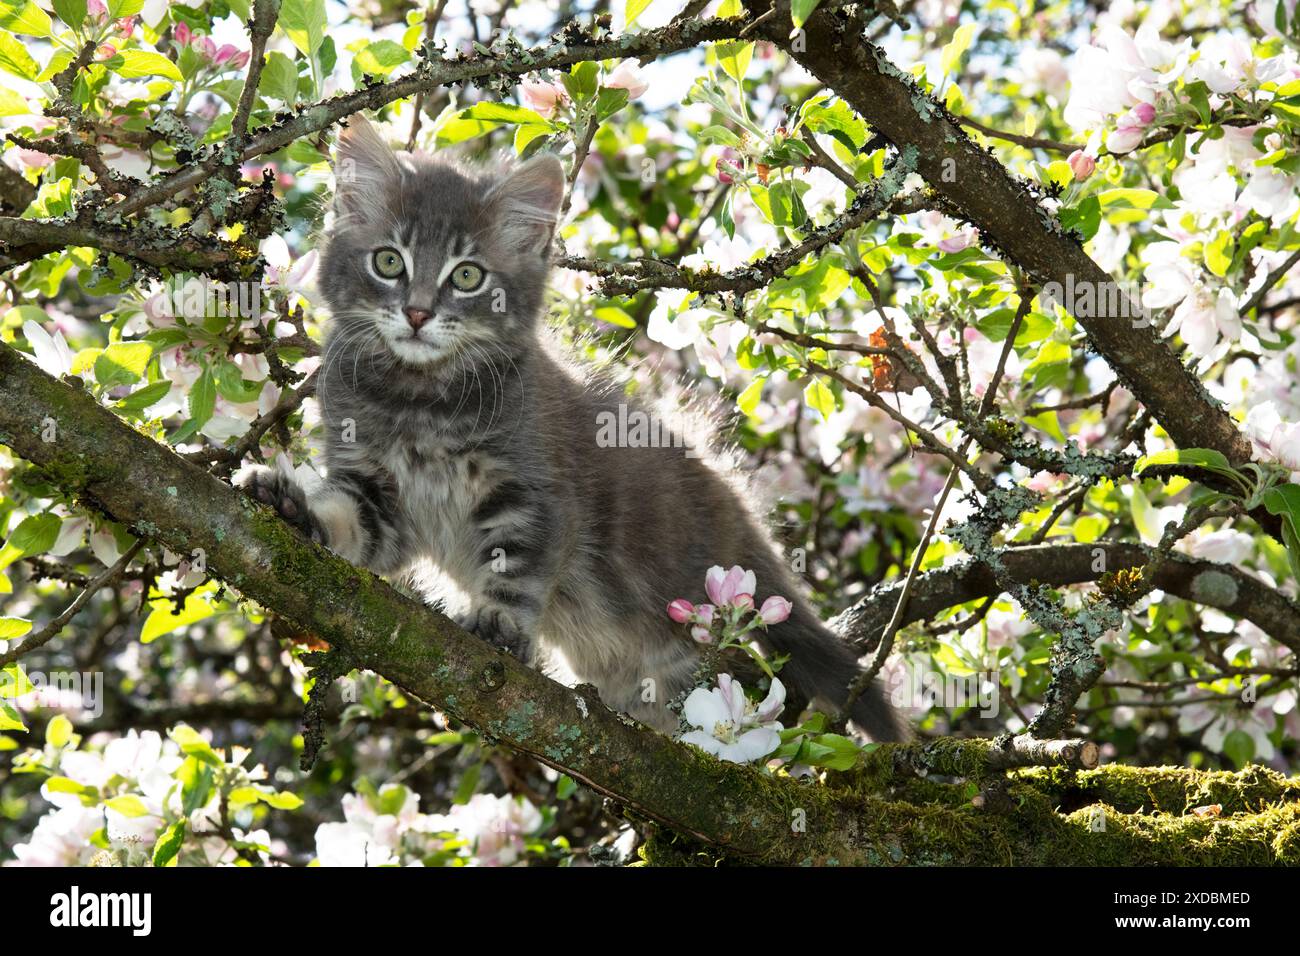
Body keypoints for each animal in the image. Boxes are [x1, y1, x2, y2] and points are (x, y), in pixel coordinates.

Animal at [244, 111, 909, 738]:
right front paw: (294, 506)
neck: (419, 400)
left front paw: (499, 623)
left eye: (467, 275)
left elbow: (515, 567)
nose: (416, 313)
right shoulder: (377, 492)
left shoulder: (533, 490)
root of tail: (743, 522)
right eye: (388, 262)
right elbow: (348, 523)